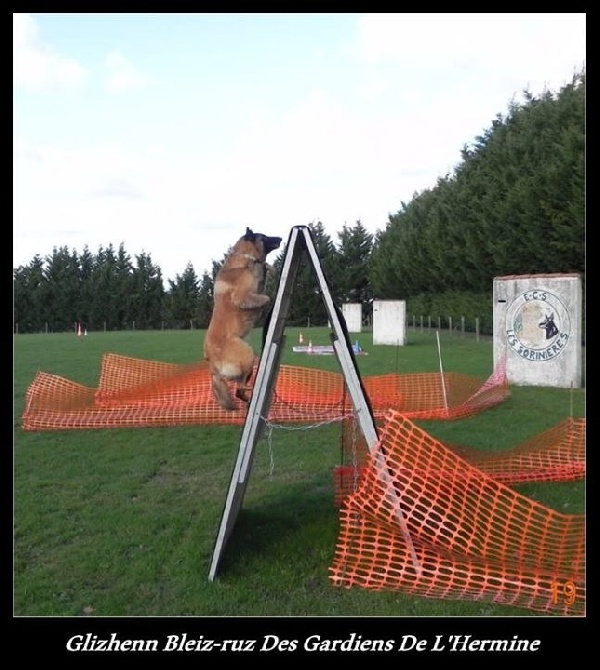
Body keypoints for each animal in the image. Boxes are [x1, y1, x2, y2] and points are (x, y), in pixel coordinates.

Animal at [203, 228, 282, 412]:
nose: (281, 238)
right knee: (240, 388)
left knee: (239, 391)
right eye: (265, 236)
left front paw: (268, 267)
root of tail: (212, 366)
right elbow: (266, 297)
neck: (247, 258)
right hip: (248, 354)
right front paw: (262, 309)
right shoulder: (241, 296)